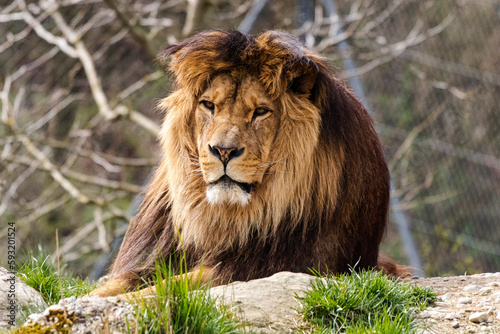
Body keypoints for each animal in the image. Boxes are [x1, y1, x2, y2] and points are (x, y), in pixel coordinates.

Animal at [90, 30, 404, 298]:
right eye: (208, 105)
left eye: (261, 111)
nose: (223, 151)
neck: (222, 218)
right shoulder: (152, 260)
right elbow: (112, 286)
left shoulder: (264, 268)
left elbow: (169, 287)